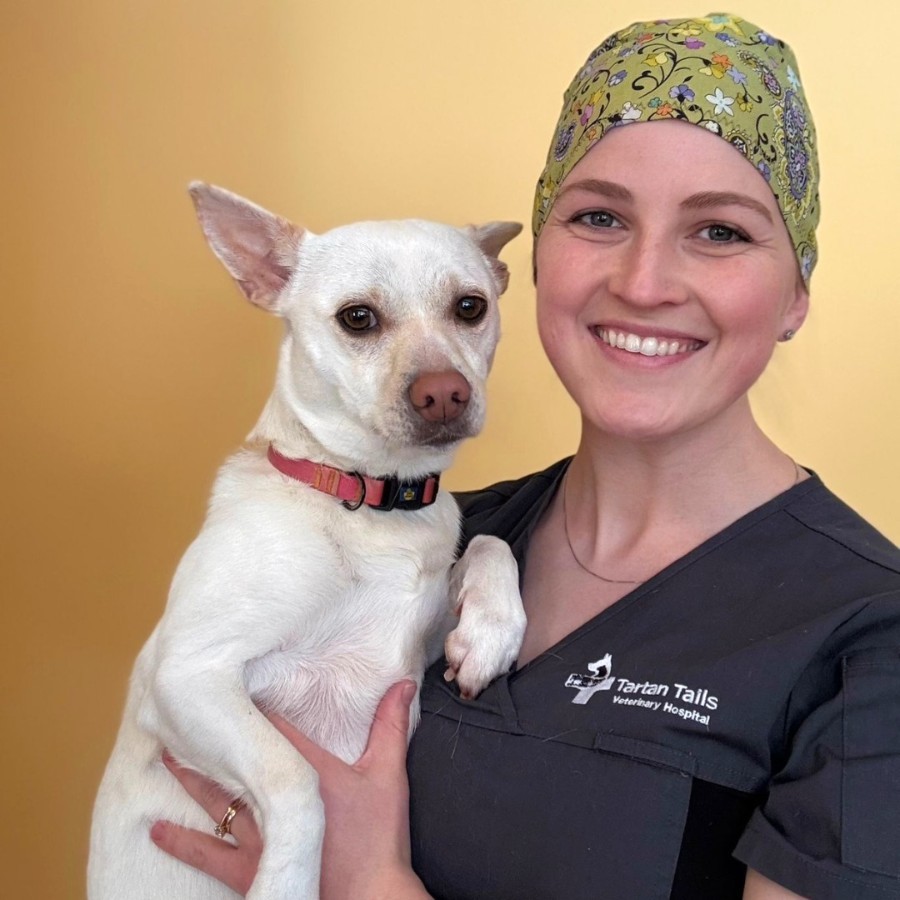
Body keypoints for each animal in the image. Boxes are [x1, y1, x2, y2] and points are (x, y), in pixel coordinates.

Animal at [88, 183, 526, 899]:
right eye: (358, 319)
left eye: (470, 307)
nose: (445, 394)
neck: (370, 499)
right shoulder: (188, 676)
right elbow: (297, 778)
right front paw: (286, 883)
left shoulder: (420, 637)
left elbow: (490, 542)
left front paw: (491, 632)